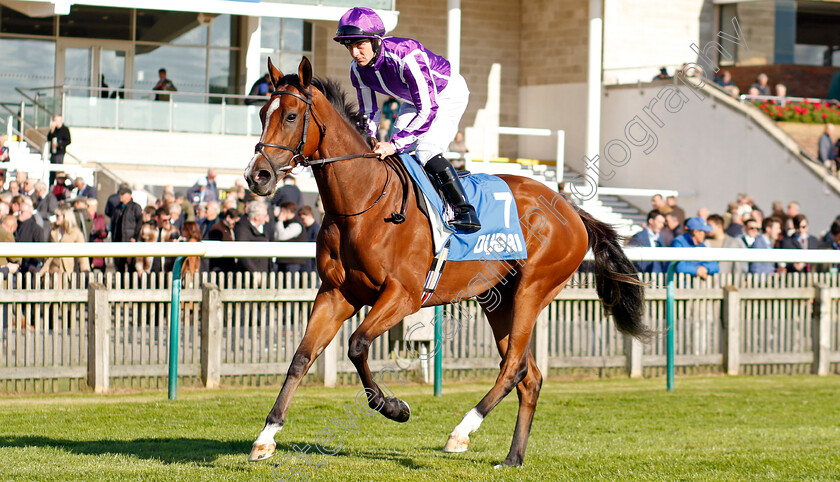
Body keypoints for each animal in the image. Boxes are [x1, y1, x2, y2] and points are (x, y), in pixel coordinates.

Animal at [243, 57, 648, 466]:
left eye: (291, 116)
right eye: (261, 113)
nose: (256, 175)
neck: (364, 203)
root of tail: (572, 208)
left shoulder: (403, 295)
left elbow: (357, 344)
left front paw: (395, 407)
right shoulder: (335, 293)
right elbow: (301, 357)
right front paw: (266, 437)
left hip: (532, 291)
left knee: (513, 367)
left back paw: (461, 432)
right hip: (498, 299)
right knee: (529, 375)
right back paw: (513, 457)